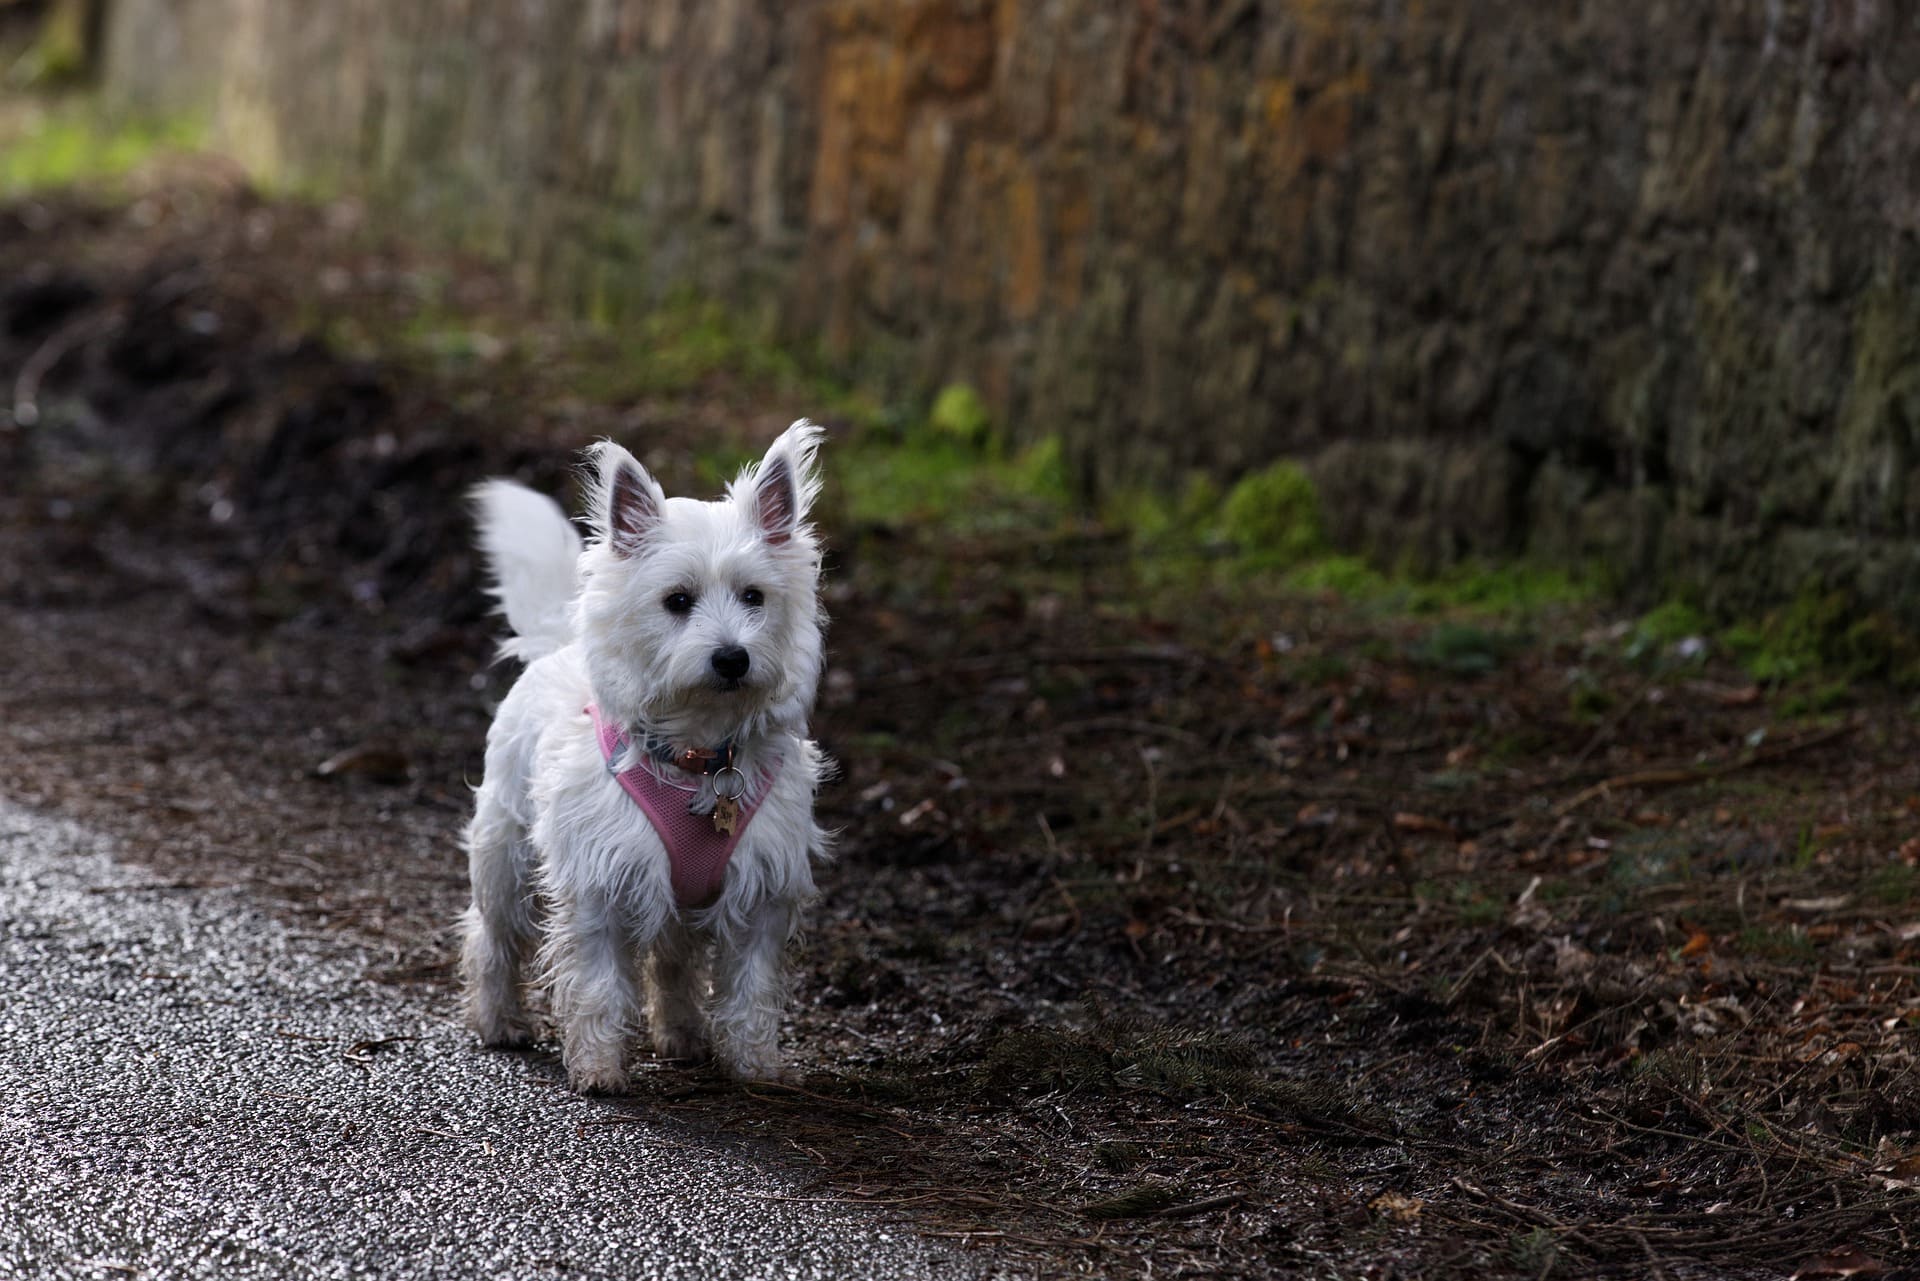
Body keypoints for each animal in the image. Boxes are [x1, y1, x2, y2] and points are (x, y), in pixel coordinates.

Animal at [464, 422, 833, 1090]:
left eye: (754, 596)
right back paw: (498, 1020)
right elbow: (598, 986)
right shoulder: (599, 886)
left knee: (673, 962)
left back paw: (681, 1035)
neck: (701, 758)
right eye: (677, 601)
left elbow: (750, 987)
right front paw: (599, 1070)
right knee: (492, 938)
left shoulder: (763, 889)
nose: (732, 658)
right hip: (504, 854)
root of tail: (556, 647)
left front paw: (755, 1067)